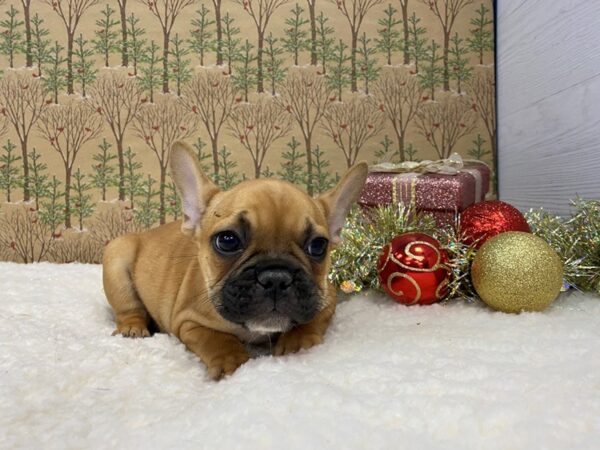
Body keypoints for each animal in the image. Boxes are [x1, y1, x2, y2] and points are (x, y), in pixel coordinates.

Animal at [102, 142, 366, 380]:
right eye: (227, 240)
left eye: (318, 246)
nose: (276, 277)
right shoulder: (187, 321)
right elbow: (217, 338)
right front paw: (233, 363)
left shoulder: (326, 299)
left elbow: (310, 321)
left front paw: (297, 344)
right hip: (117, 255)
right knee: (129, 309)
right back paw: (133, 327)